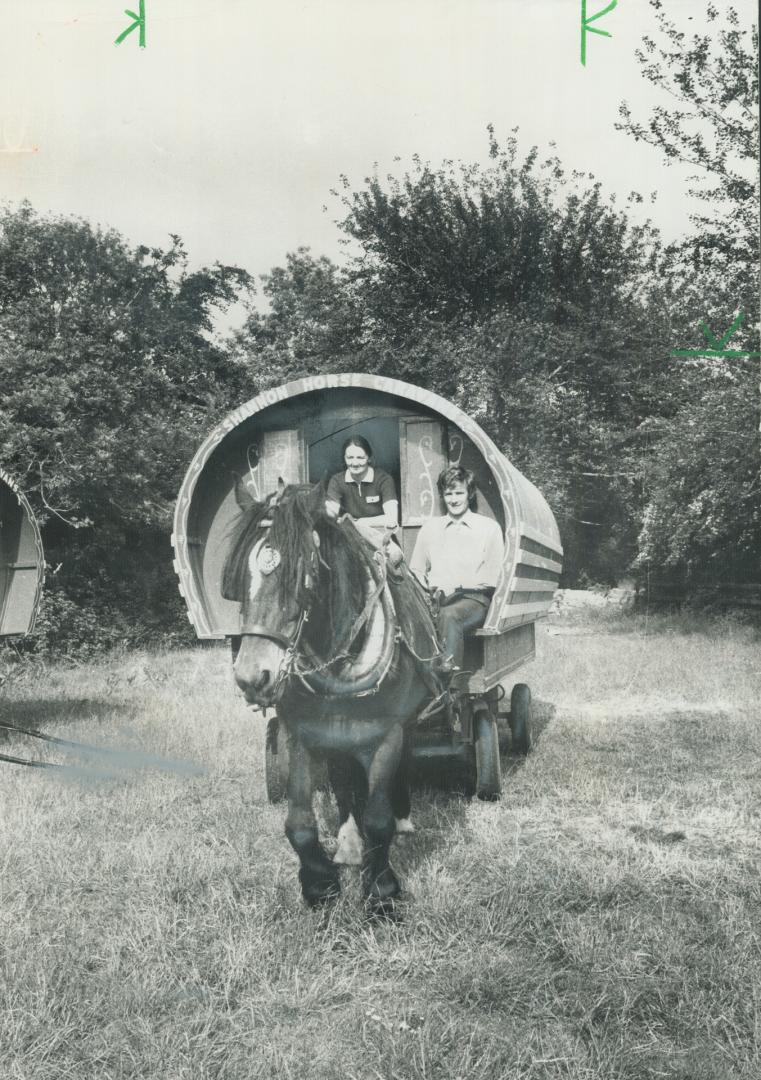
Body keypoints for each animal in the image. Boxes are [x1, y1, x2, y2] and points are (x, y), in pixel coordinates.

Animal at [221, 481, 444, 911]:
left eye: (301, 576)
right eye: (240, 578)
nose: (252, 676)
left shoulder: (386, 734)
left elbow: (378, 819)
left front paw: (382, 892)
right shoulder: (299, 733)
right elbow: (299, 822)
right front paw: (320, 885)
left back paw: (403, 817)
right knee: (342, 778)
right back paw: (348, 842)